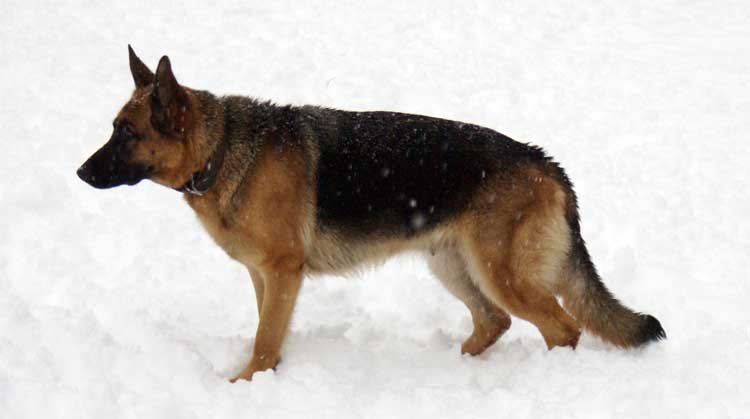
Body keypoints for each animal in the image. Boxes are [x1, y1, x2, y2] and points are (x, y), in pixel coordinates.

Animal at [78, 46, 664, 384]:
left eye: (126, 133)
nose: (81, 173)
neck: (220, 150)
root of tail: (546, 162)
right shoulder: (264, 277)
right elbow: (268, 335)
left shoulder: (283, 272)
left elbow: (265, 342)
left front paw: (244, 388)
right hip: (454, 266)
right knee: (493, 322)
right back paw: (457, 366)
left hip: (502, 274)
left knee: (562, 327)